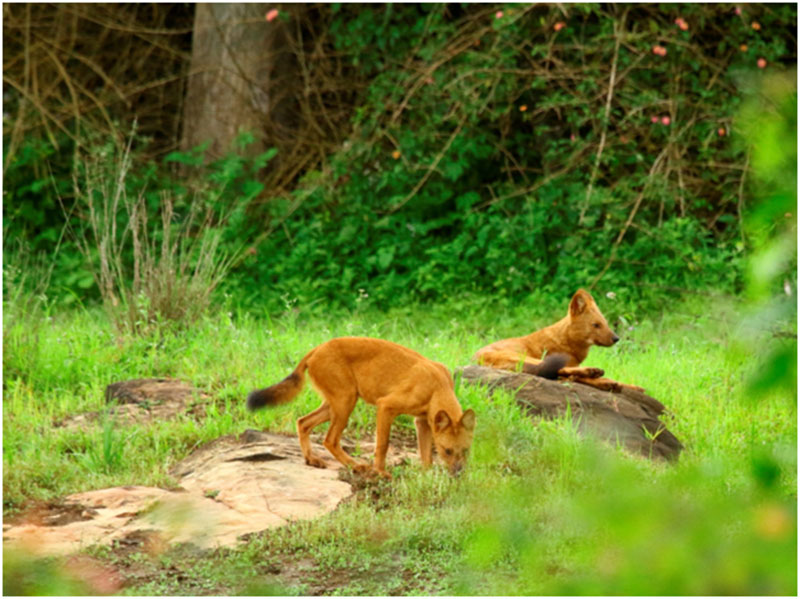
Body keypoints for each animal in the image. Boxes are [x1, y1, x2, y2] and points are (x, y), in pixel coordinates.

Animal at [247, 338, 478, 478]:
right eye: (447, 451)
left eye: (466, 450)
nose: (458, 473)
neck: (437, 386)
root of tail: (317, 348)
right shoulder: (386, 406)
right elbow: (383, 444)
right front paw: (381, 473)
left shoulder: (422, 420)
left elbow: (426, 454)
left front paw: (426, 475)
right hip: (346, 401)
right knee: (329, 439)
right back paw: (356, 465)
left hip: (335, 404)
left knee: (303, 422)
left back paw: (312, 460)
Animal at [476, 290, 644, 394]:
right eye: (596, 325)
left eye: (606, 324)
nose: (616, 338)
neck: (566, 341)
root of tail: (476, 359)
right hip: (524, 357)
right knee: (560, 370)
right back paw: (598, 375)